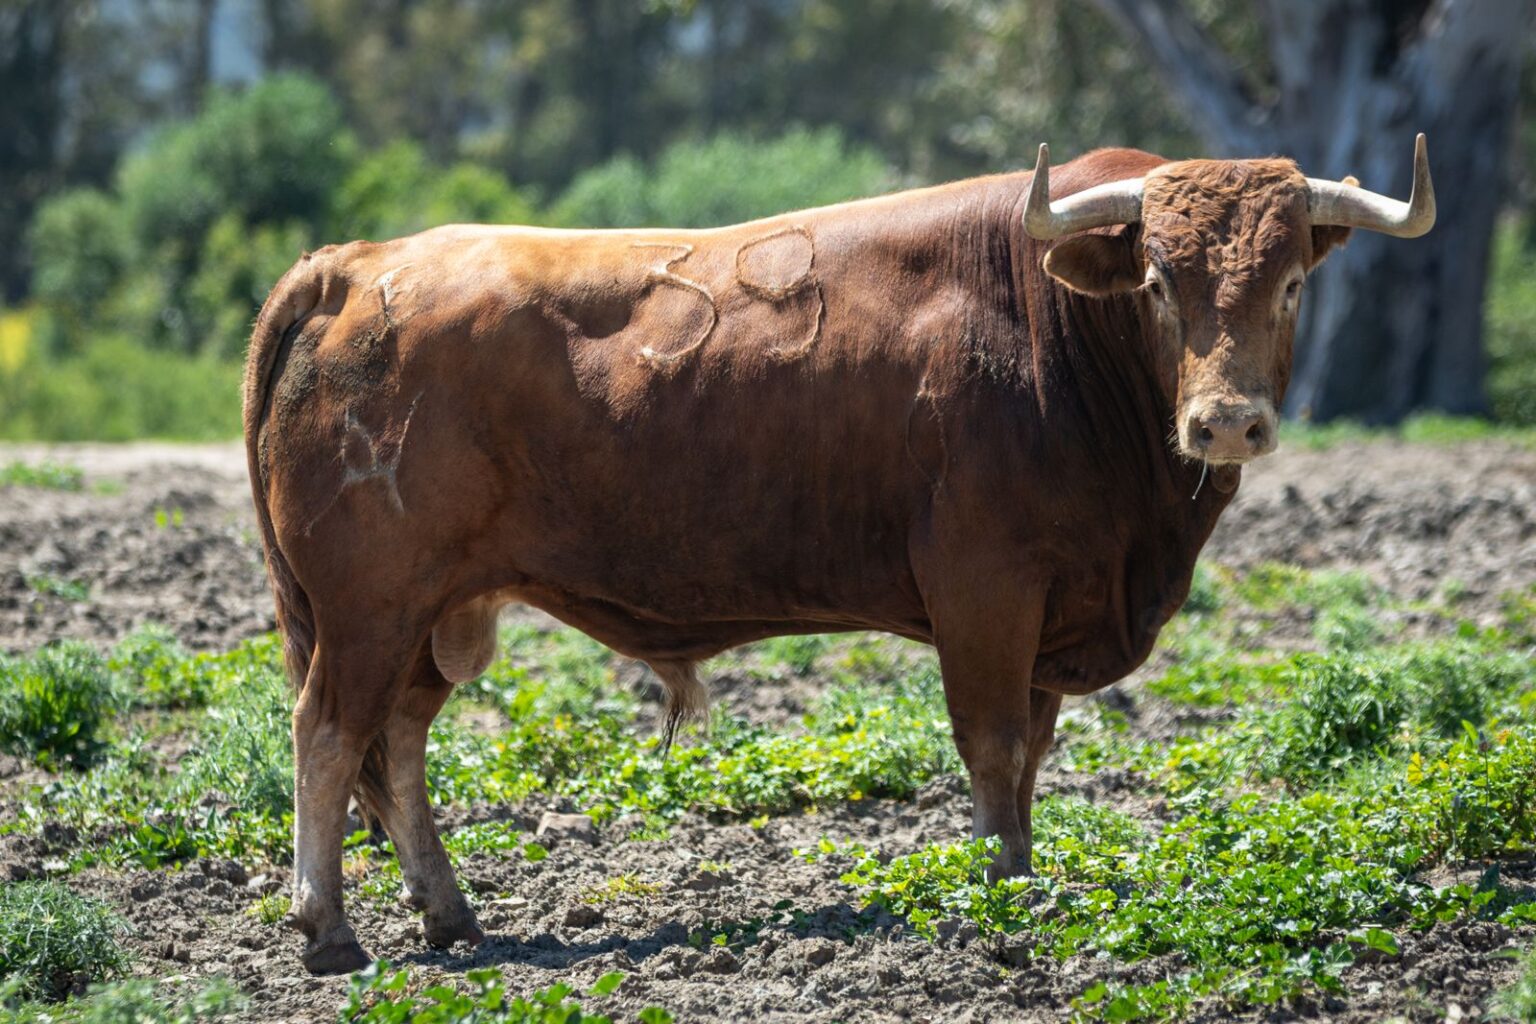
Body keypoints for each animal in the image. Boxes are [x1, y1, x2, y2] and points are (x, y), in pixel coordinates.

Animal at [239, 138, 1425, 976]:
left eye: (1289, 283)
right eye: (1161, 281)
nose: (1226, 423)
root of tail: (358, 264)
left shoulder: (1049, 610)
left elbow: (1031, 756)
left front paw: (1024, 871)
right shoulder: (986, 590)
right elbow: (993, 746)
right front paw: (998, 889)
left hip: (436, 613)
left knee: (395, 742)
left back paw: (449, 914)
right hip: (369, 607)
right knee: (327, 733)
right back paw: (328, 928)